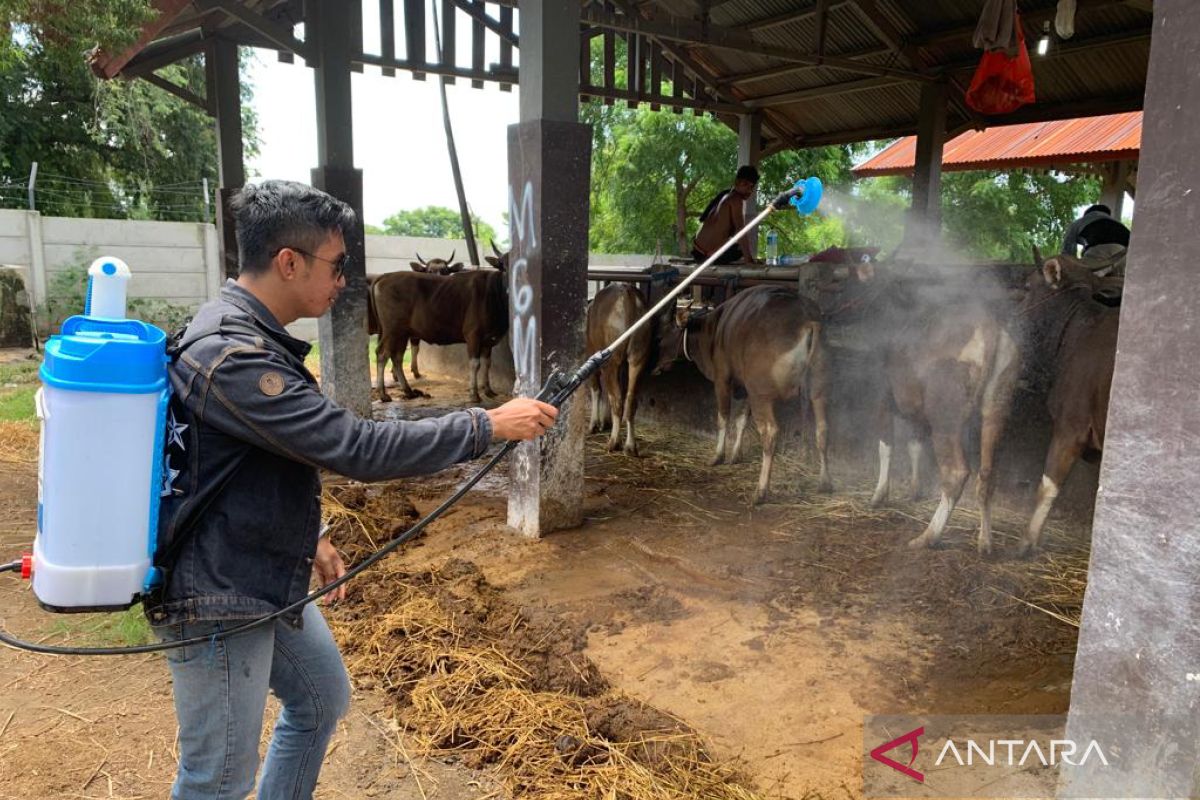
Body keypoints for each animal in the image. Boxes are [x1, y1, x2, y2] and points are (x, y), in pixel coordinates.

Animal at [372, 256, 508, 402]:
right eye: (503, 267)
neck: (493, 293)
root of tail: (385, 276)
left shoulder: (488, 340)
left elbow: (487, 363)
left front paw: (489, 390)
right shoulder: (473, 335)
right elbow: (475, 364)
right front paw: (474, 394)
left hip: (402, 334)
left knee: (397, 357)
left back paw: (408, 391)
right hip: (391, 331)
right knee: (382, 354)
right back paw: (383, 394)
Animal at [652, 284, 830, 503]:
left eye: (660, 336)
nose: (653, 366)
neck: (712, 332)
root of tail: (807, 322)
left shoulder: (723, 380)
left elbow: (723, 418)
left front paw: (718, 456)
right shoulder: (744, 389)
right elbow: (741, 420)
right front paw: (735, 455)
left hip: (761, 395)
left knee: (770, 432)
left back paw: (761, 491)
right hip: (818, 391)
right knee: (822, 429)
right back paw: (825, 482)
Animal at [864, 278, 1022, 561]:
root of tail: (989, 329)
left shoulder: (882, 393)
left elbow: (886, 444)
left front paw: (878, 496)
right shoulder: (917, 412)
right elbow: (914, 445)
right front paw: (914, 491)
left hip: (946, 413)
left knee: (956, 472)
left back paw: (927, 537)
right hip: (998, 403)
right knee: (987, 472)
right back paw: (985, 543)